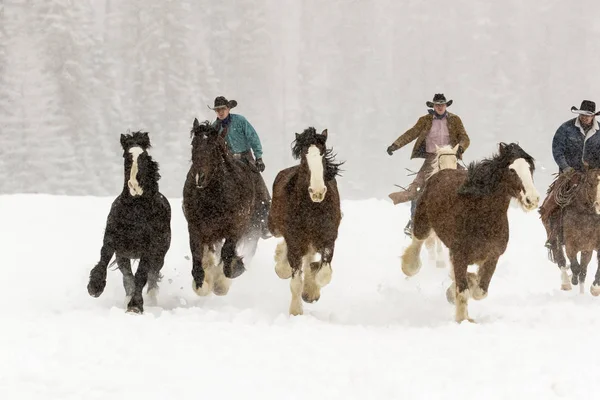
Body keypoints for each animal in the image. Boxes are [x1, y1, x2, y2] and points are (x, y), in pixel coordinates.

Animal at [86, 130, 171, 314]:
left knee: (151, 278)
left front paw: (135, 305)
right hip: (123, 256)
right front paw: (94, 287)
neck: (135, 211)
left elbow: (140, 276)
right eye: (127, 156)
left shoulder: (148, 250)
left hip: (159, 255)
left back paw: (150, 300)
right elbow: (104, 261)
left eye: (144, 156)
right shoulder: (113, 243)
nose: (134, 186)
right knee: (127, 278)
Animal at [183, 119, 258, 296]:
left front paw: (230, 273)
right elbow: (197, 256)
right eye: (194, 144)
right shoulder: (195, 228)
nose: (200, 178)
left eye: (213, 147)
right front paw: (201, 282)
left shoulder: (236, 227)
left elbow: (227, 253)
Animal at [268, 127, 342, 316]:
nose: (317, 192)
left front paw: (311, 292)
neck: (312, 209)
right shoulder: (294, 239)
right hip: (274, 227)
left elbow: (324, 274)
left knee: (309, 256)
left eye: (322, 154)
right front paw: (296, 311)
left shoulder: (328, 238)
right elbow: (294, 280)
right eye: (303, 156)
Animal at [404, 142, 540, 324]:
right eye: (512, 170)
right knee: (418, 241)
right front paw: (462, 319)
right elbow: (463, 290)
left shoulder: (493, 256)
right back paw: (409, 267)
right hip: (423, 221)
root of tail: (441, 172)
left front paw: (459, 290)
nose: (532, 199)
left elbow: (480, 291)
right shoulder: (460, 254)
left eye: (530, 168)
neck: (481, 215)